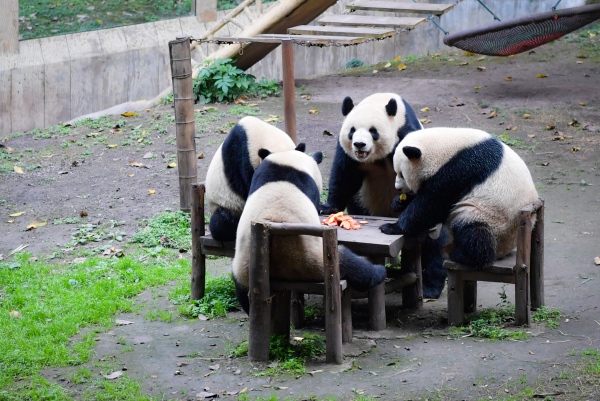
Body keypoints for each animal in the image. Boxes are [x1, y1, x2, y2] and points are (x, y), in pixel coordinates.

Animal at [232, 146, 386, 312]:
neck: (286, 162)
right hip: (316, 260)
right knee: (350, 264)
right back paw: (378, 272)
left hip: (245, 270)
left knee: (243, 294)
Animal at [316, 93, 448, 296]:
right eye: (352, 131)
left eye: (373, 131)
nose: (359, 144)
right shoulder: (348, 152)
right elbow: (344, 175)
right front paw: (327, 208)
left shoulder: (406, 137)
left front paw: (400, 201)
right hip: (364, 200)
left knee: (434, 243)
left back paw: (431, 286)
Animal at [382, 126, 540, 268]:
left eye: (402, 174)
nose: (398, 187)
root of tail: (505, 251)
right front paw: (398, 203)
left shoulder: (463, 168)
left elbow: (432, 203)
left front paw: (392, 227)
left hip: (492, 218)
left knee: (474, 231)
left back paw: (462, 255)